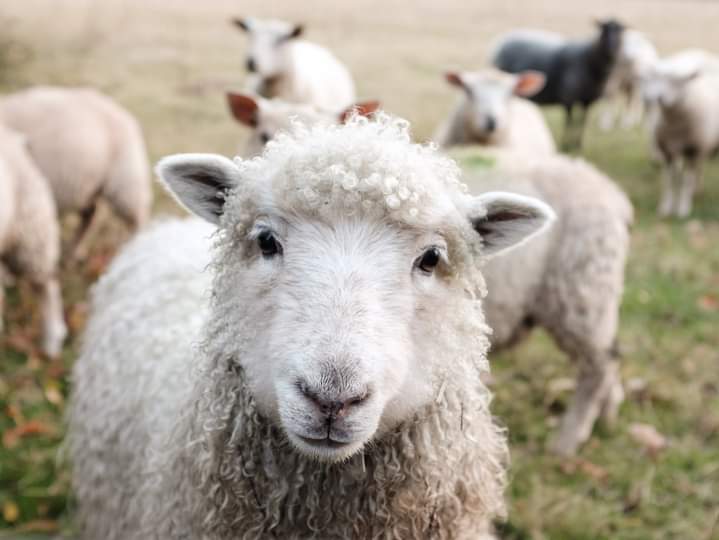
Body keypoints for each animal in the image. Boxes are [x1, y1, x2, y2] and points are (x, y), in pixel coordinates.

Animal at [0, 86, 152, 258]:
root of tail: (124, 114)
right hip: (90, 186)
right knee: (90, 215)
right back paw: (75, 250)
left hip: (125, 181)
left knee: (137, 218)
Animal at [492, 19, 625, 149]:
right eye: (604, 30)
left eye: (620, 32)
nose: (612, 48)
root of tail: (500, 41)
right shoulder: (568, 98)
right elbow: (569, 122)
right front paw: (566, 144)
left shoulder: (587, 101)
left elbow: (582, 122)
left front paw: (578, 144)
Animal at [641, 53, 719, 217]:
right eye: (657, 78)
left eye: (677, 82)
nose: (658, 98)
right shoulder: (667, 151)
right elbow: (669, 180)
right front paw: (666, 208)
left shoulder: (693, 149)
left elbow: (686, 181)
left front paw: (683, 208)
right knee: (698, 168)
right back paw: (697, 190)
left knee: (697, 170)